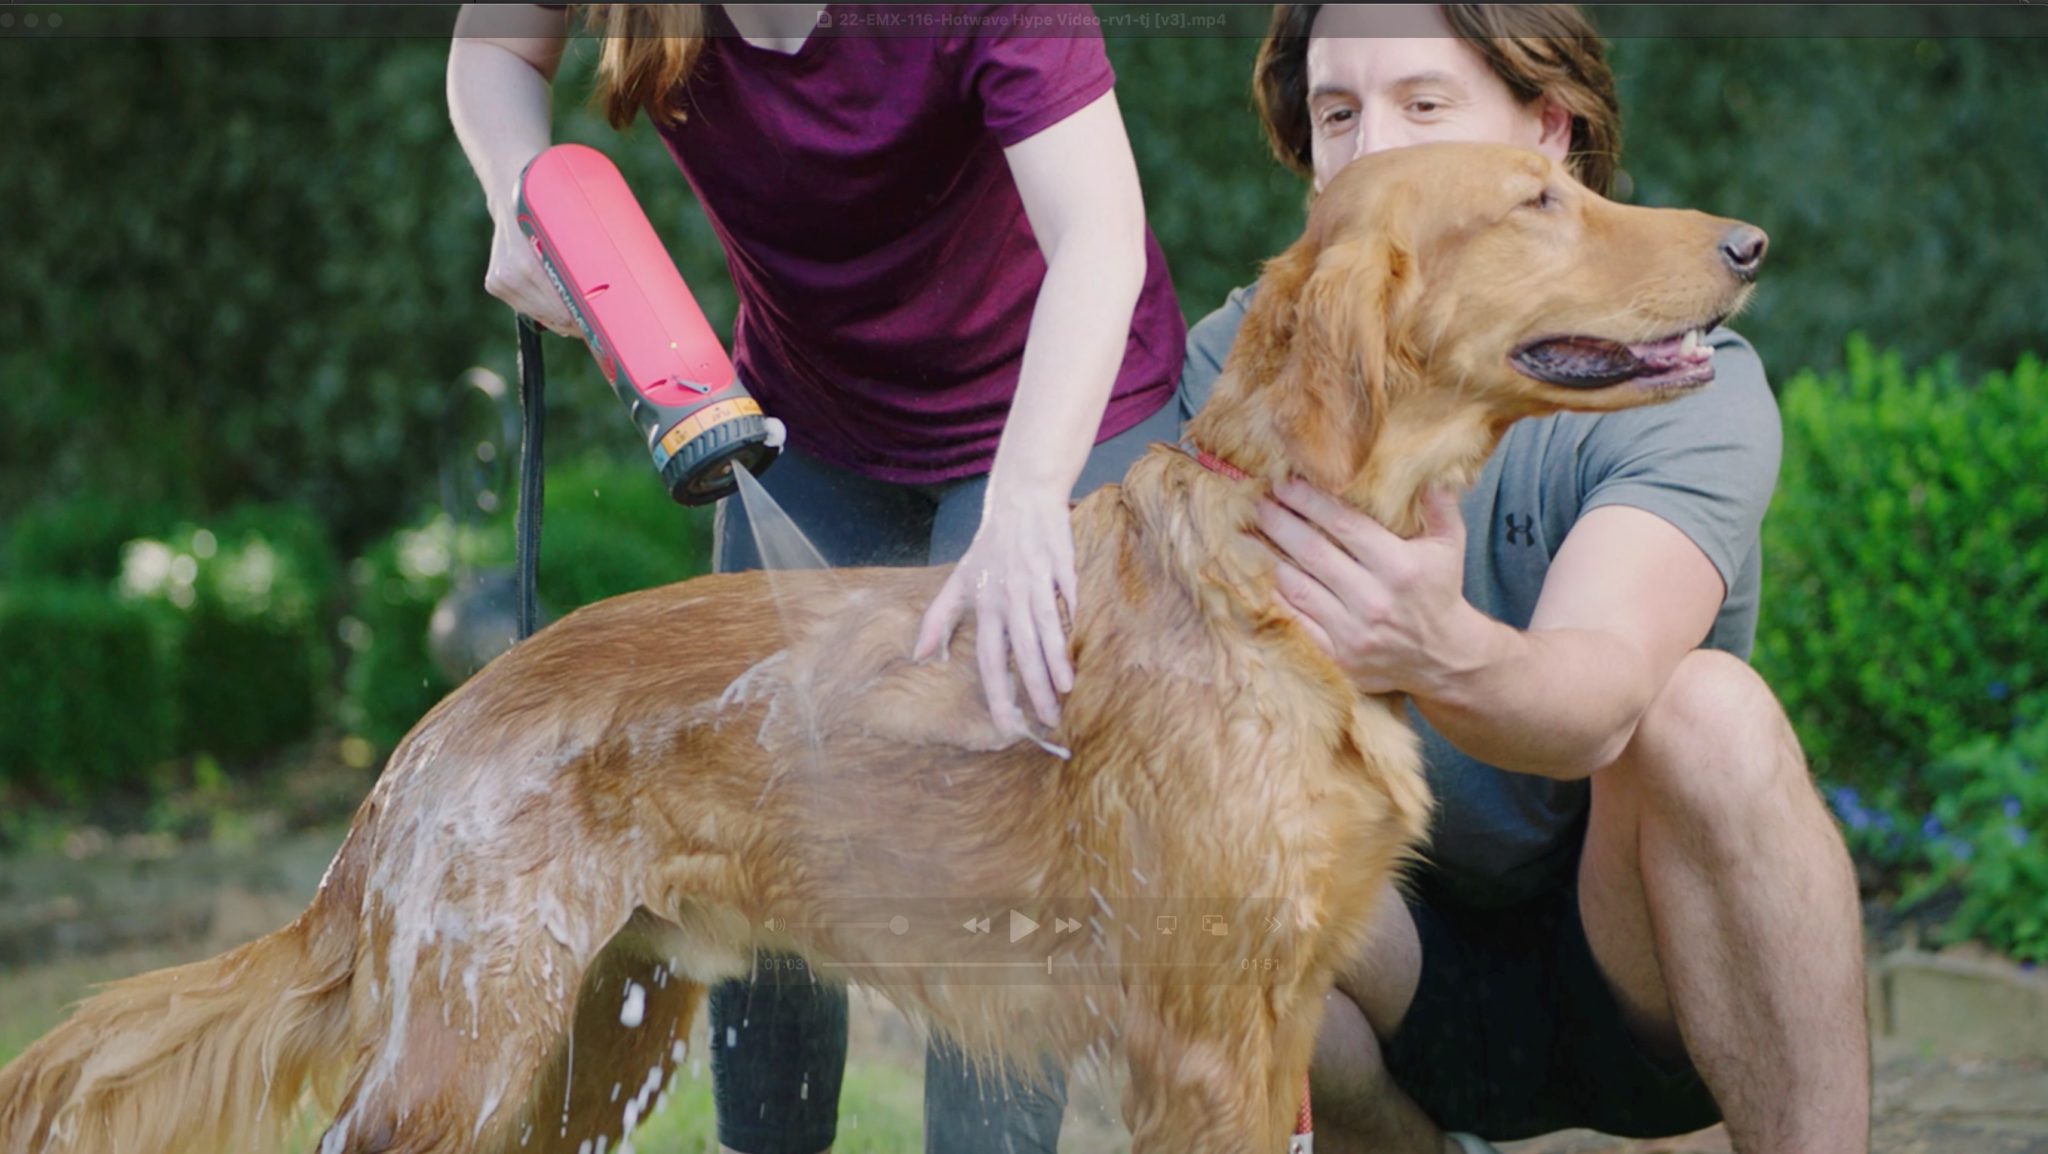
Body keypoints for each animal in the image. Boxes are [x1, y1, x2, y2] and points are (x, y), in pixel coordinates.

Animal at [0, 144, 1761, 1154]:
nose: (1749, 244)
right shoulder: (1202, 1031)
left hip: (596, 1038)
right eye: (1542, 201)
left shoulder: (1271, 1018)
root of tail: (419, 746)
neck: (1270, 567)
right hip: (467, 1052)